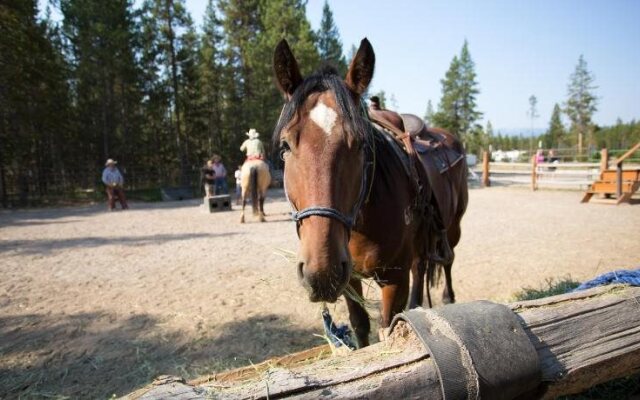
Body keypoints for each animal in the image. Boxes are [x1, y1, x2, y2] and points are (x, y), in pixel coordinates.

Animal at [272, 36, 468, 346]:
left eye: (360, 145)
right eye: (285, 146)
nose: (321, 271)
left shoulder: (394, 279)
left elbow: (388, 328)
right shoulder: (348, 279)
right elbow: (360, 325)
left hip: (452, 227)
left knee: (448, 260)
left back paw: (449, 298)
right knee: (421, 266)